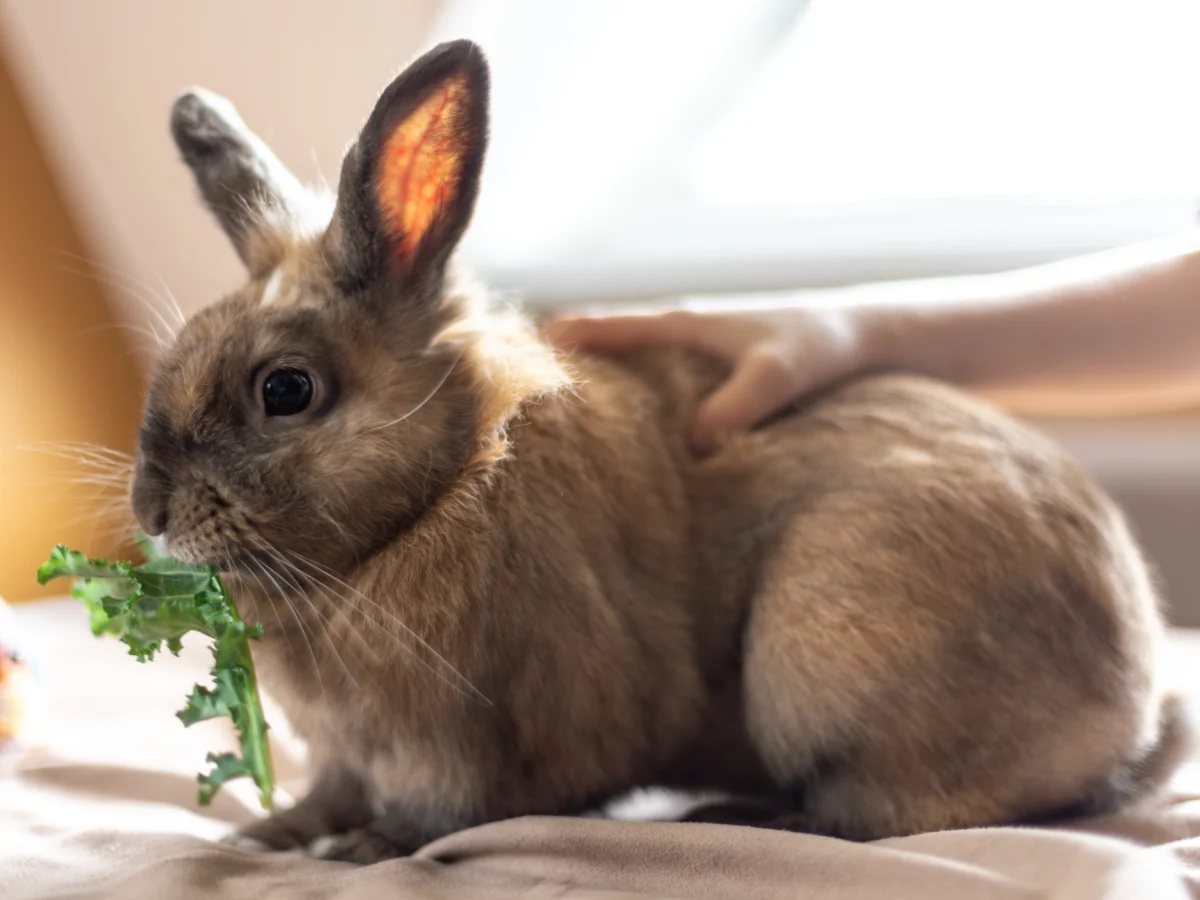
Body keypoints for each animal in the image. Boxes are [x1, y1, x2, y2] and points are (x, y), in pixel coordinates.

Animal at [131, 39, 1188, 864]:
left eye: (286, 390)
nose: (150, 509)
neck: (442, 485)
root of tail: (1133, 717)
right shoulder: (343, 752)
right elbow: (325, 793)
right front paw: (267, 835)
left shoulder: (467, 747)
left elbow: (445, 815)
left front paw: (364, 849)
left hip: (819, 657)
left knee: (897, 816)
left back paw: (749, 815)